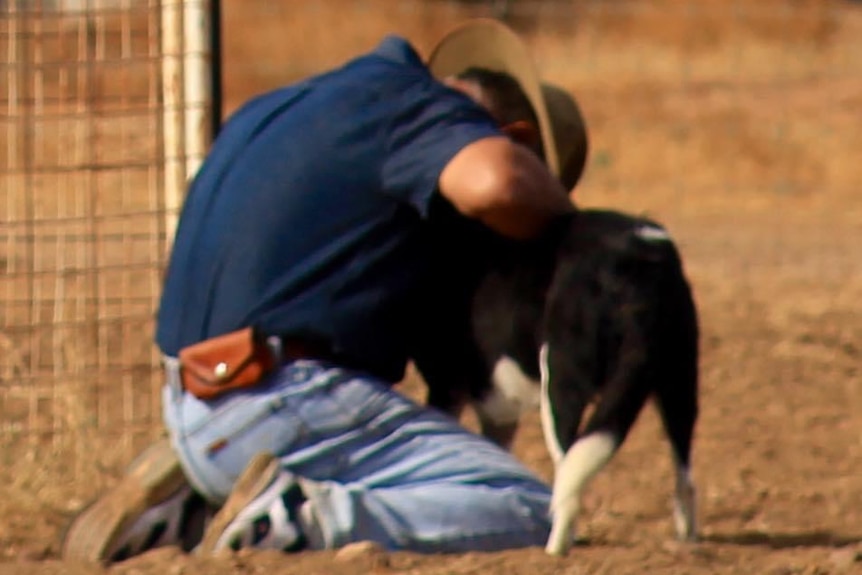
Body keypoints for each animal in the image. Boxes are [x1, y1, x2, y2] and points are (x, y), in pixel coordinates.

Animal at [412, 206, 704, 552]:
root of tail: (640, 254)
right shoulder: (496, 411)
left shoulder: (446, 388)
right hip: (677, 384)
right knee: (684, 476)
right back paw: (687, 542)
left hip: (561, 384)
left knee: (568, 478)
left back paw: (554, 550)